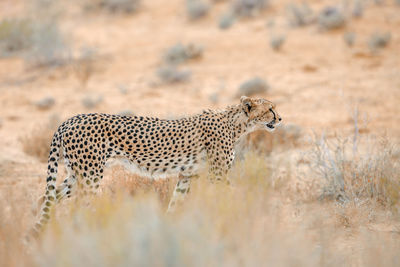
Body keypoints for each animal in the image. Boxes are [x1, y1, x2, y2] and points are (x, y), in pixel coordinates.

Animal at [32, 97, 282, 237]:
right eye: (271, 109)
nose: (280, 119)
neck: (237, 124)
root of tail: (69, 120)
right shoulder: (218, 175)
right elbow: (235, 197)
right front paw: (251, 219)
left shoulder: (187, 176)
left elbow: (175, 203)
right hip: (90, 176)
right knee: (76, 207)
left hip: (78, 175)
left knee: (46, 198)